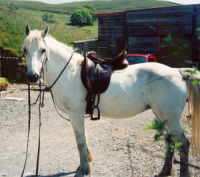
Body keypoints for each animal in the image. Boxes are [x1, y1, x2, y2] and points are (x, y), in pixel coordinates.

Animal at [22, 25, 200, 177]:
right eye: (24, 50)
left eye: (43, 50)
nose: (32, 77)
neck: (69, 72)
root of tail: (178, 71)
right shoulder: (77, 116)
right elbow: (84, 140)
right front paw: (84, 165)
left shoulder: (76, 114)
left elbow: (80, 142)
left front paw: (83, 170)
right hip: (162, 116)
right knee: (170, 142)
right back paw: (164, 171)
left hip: (170, 118)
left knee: (183, 144)